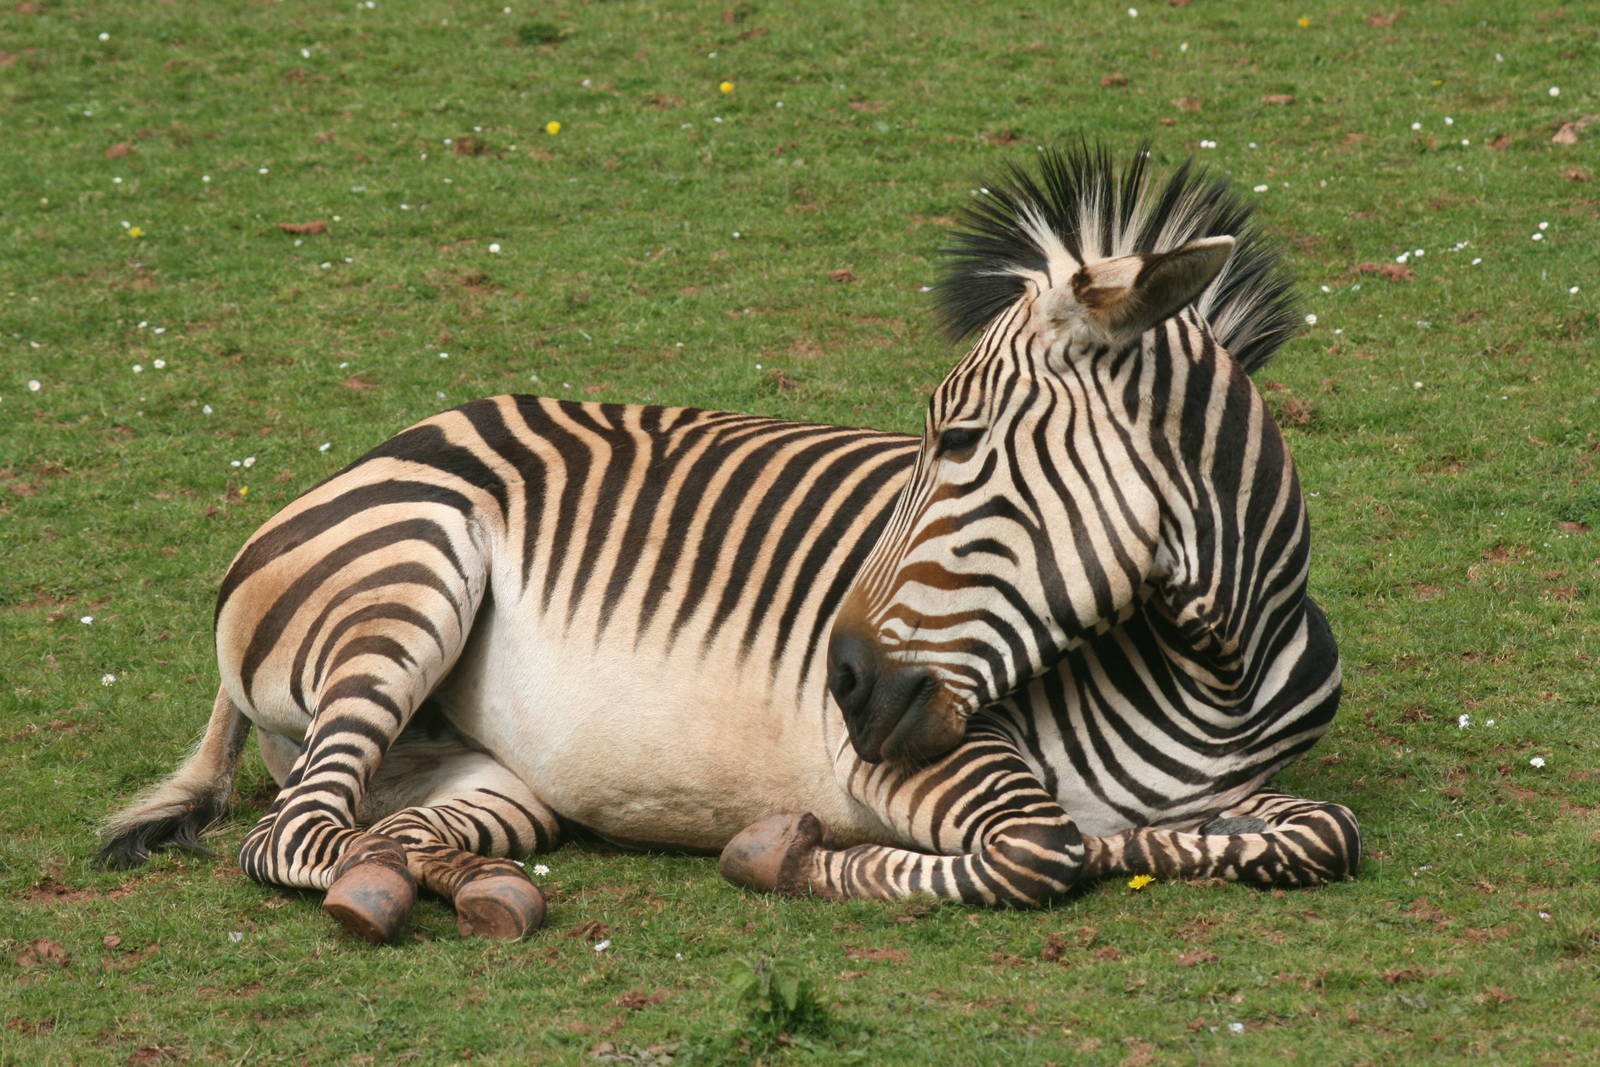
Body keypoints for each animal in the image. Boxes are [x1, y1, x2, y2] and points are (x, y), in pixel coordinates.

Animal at [97, 144, 1358, 942]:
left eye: (957, 439)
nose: (836, 679)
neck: (1213, 676)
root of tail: (371, 453)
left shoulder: (1257, 793)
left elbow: (1320, 831)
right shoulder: (925, 762)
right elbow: (1044, 852)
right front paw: (790, 853)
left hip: (487, 772)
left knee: (383, 832)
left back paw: (464, 884)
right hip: (408, 581)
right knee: (290, 836)